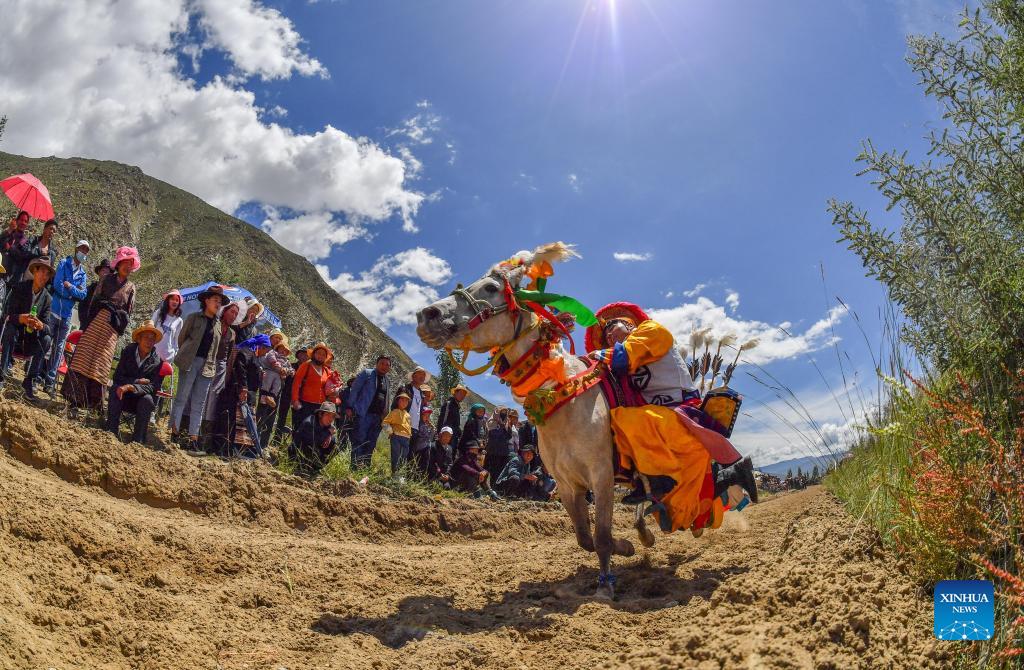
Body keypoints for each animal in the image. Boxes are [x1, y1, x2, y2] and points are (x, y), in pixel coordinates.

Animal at [415, 241, 655, 598]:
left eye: (491, 287)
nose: (426, 315)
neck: (563, 400)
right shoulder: (567, 484)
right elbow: (585, 538)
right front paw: (624, 546)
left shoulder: (601, 475)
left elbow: (600, 536)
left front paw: (605, 586)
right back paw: (643, 533)